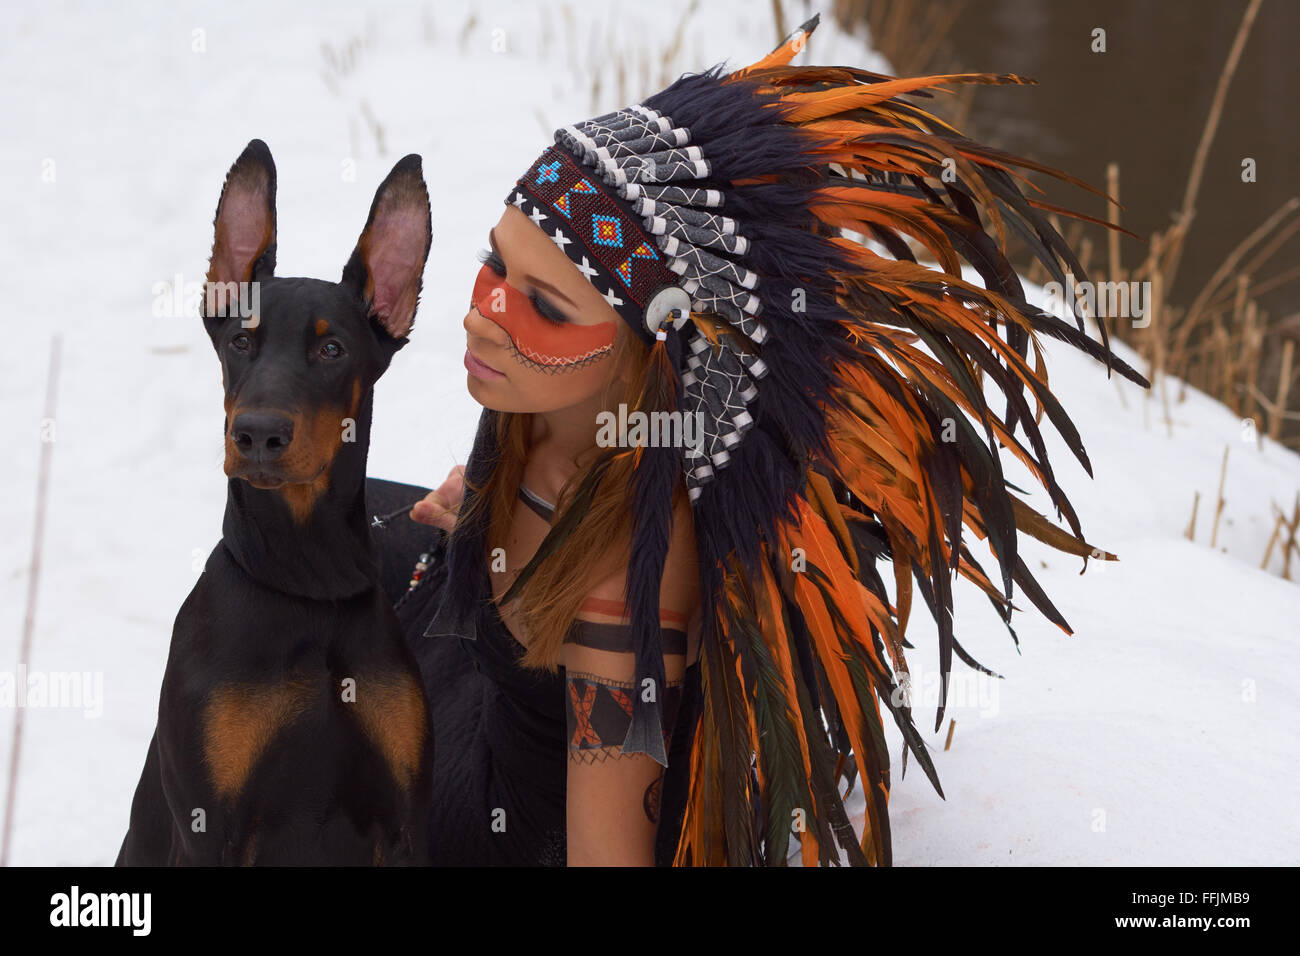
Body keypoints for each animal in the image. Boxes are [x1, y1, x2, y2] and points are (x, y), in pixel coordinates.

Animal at [116, 141, 434, 868]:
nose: (256, 434)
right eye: (240, 342)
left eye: (332, 348)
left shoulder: (404, 825)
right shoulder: (210, 829)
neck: (309, 583)